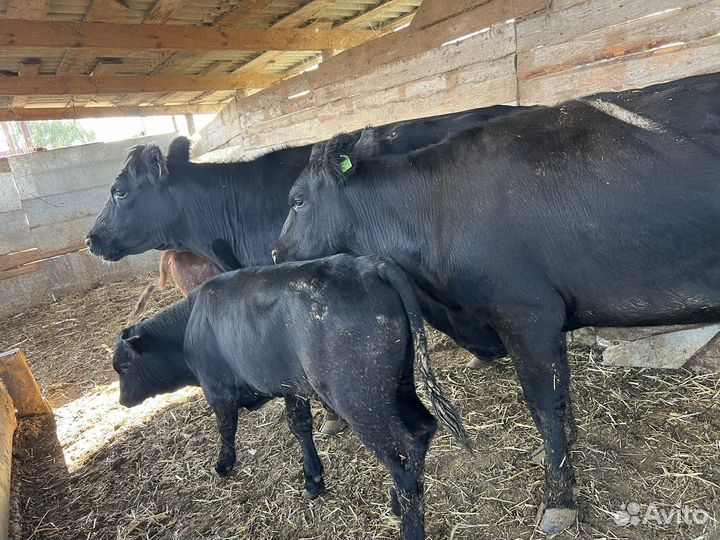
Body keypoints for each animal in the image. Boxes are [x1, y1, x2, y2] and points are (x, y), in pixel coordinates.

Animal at [113, 254, 471, 540]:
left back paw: (409, 523)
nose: (121, 402)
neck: (191, 324)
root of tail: (370, 265)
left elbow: (226, 430)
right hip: (398, 385)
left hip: (361, 401)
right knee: (421, 431)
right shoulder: (290, 386)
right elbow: (299, 427)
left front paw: (223, 465)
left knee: (401, 451)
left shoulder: (218, 392)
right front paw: (313, 480)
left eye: (124, 365)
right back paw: (397, 503)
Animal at [272, 72, 720, 534]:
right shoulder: (545, 320)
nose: (274, 253)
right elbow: (561, 394)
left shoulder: (526, 314)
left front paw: (559, 498)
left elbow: (544, 405)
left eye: (297, 200)